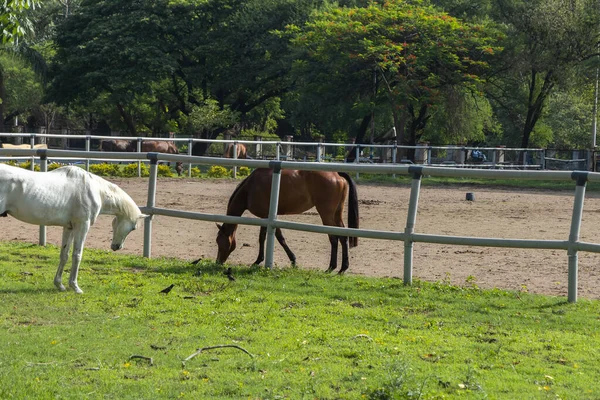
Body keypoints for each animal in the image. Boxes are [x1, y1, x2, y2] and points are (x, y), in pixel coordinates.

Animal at [0, 163, 146, 294]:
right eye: (133, 228)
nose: (117, 246)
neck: (96, 191)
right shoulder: (82, 225)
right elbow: (77, 255)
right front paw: (75, 287)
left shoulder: (69, 227)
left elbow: (64, 255)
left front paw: (59, 285)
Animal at [216, 167, 358, 274]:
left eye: (219, 241)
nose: (218, 262)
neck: (250, 188)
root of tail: (336, 174)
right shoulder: (266, 217)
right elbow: (264, 238)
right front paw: (258, 261)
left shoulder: (268, 217)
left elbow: (278, 238)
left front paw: (292, 260)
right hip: (337, 214)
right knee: (343, 236)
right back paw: (342, 268)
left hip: (326, 215)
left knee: (333, 238)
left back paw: (331, 267)